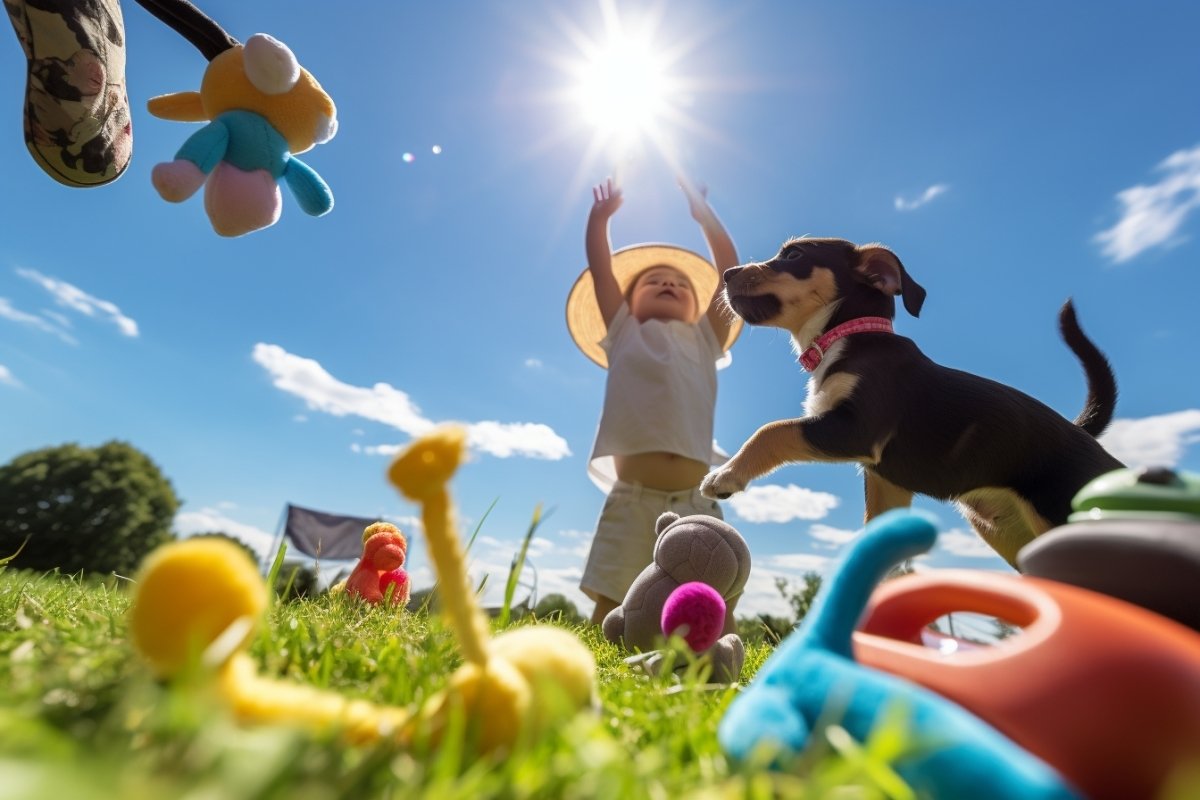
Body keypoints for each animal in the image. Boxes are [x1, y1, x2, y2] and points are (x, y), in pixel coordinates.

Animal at [700, 235, 1123, 566]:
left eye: (794, 255)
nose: (728, 273)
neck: (848, 337)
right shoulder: (885, 481)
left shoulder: (858, 429)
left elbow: (773, 430)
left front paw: (726, 475)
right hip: (1009, 533)